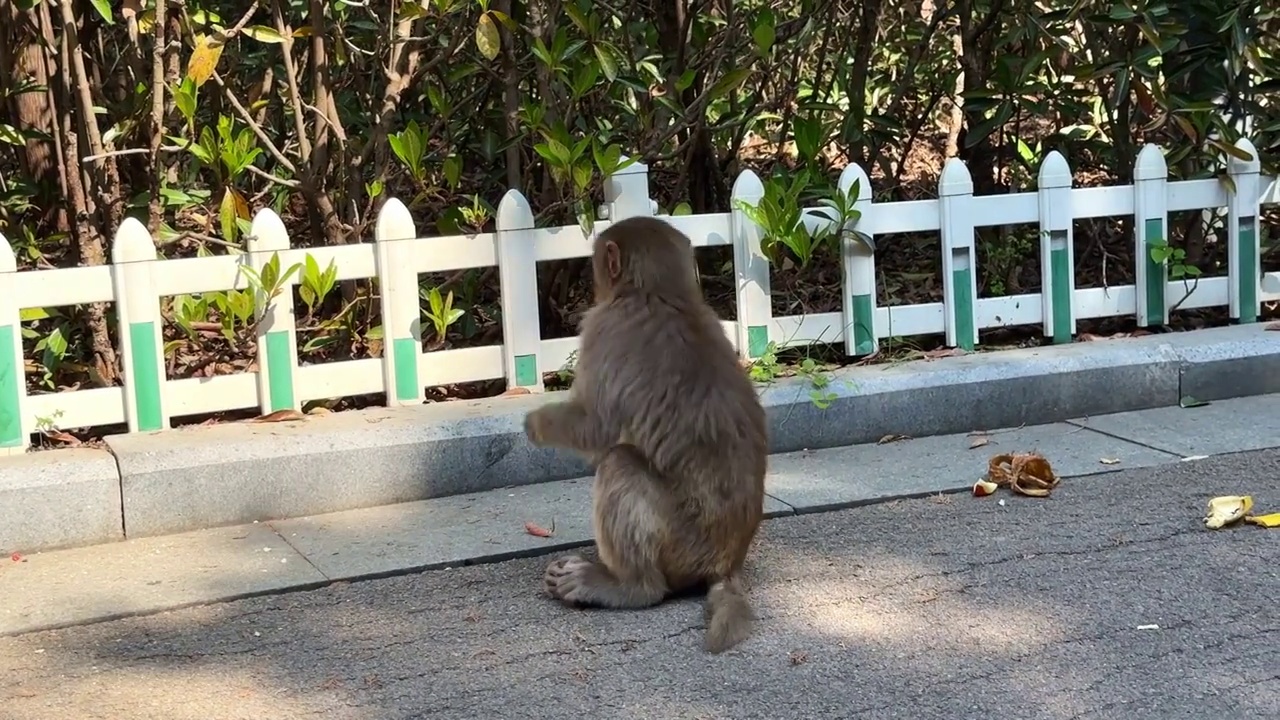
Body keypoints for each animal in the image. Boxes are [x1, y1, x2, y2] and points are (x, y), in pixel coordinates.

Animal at [522, 211, 762, 650]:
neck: (661, 294)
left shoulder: (602, 327)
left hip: (681, 543)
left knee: (619, 463)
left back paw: (628, 586)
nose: (592, 282)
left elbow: (596, 428)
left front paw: (536, 424)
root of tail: (724, 564)